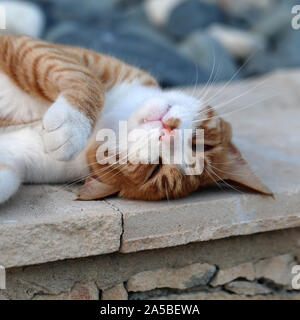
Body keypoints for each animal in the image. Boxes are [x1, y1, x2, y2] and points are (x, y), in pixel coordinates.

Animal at [0, 33, 272, 202]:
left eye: (155, 169)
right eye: (202, 144)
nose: (169, 130)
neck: (113, 115)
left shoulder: (19, 161)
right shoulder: (40, 49)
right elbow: (82, 76)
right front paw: (72, 125)